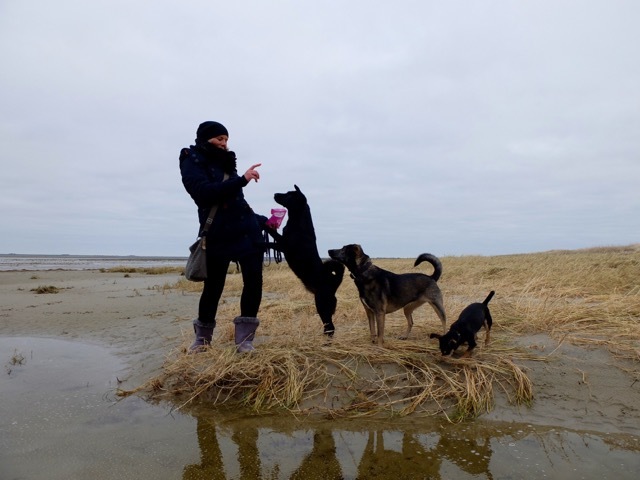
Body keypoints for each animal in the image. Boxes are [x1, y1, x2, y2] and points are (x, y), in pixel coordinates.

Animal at [266, 185, 344, 336]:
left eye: (289, 195)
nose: (275, 194)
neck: (298, 220)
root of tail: (334, 284)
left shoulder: (283, 245)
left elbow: (270, 237)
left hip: (321, 304)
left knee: (330, 327)